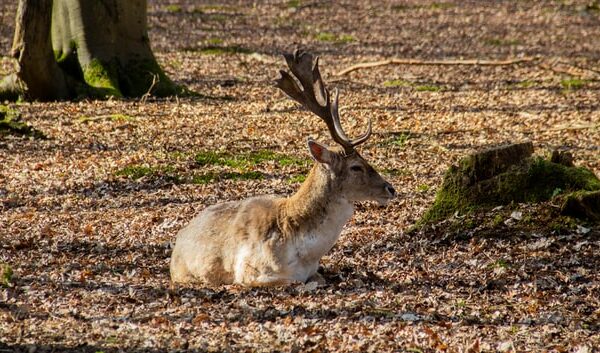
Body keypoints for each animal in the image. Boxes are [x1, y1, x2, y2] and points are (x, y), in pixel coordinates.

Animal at [169, 50, 396, 286]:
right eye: (356, 167)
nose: (390, 188)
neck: (303, 253)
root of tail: (177, 242)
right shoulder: (249, 273)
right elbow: (300, 283)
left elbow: (318, 279)